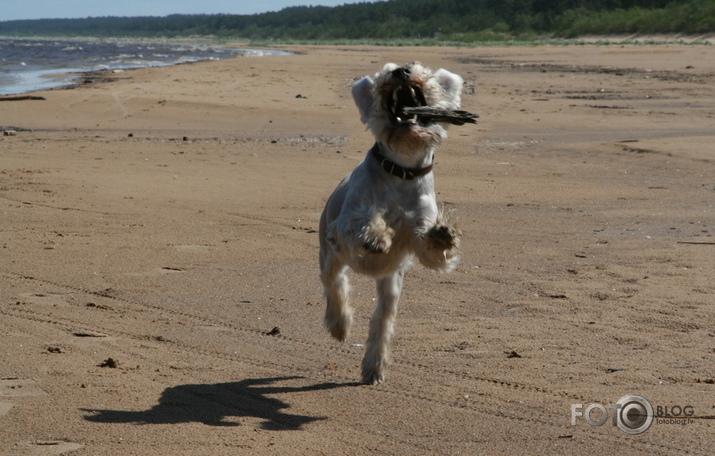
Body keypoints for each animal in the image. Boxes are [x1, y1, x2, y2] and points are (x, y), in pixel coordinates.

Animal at [318, 61, 476, 384]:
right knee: (335, 286)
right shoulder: (344, 223)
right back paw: (340, 325)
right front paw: (377, 235)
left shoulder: (420, 230)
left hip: (391, 284)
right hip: (329, 256)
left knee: (383, 319)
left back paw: (374, 366)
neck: (401, 170)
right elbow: (363, 222)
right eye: (386, 70)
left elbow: (430, 247)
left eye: (419, 68)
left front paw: (442, 234)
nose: (402, 70)